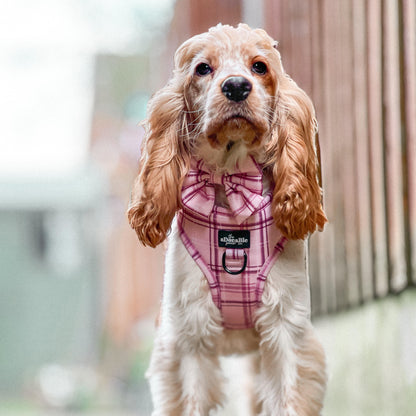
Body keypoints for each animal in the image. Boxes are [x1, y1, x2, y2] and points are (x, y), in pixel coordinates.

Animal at [128, 23, 326, 416]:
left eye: (260, 66)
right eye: (203, 68)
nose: (236, 86)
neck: (230, 182)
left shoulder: (287, 328)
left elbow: (288, 398)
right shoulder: (187, 335)